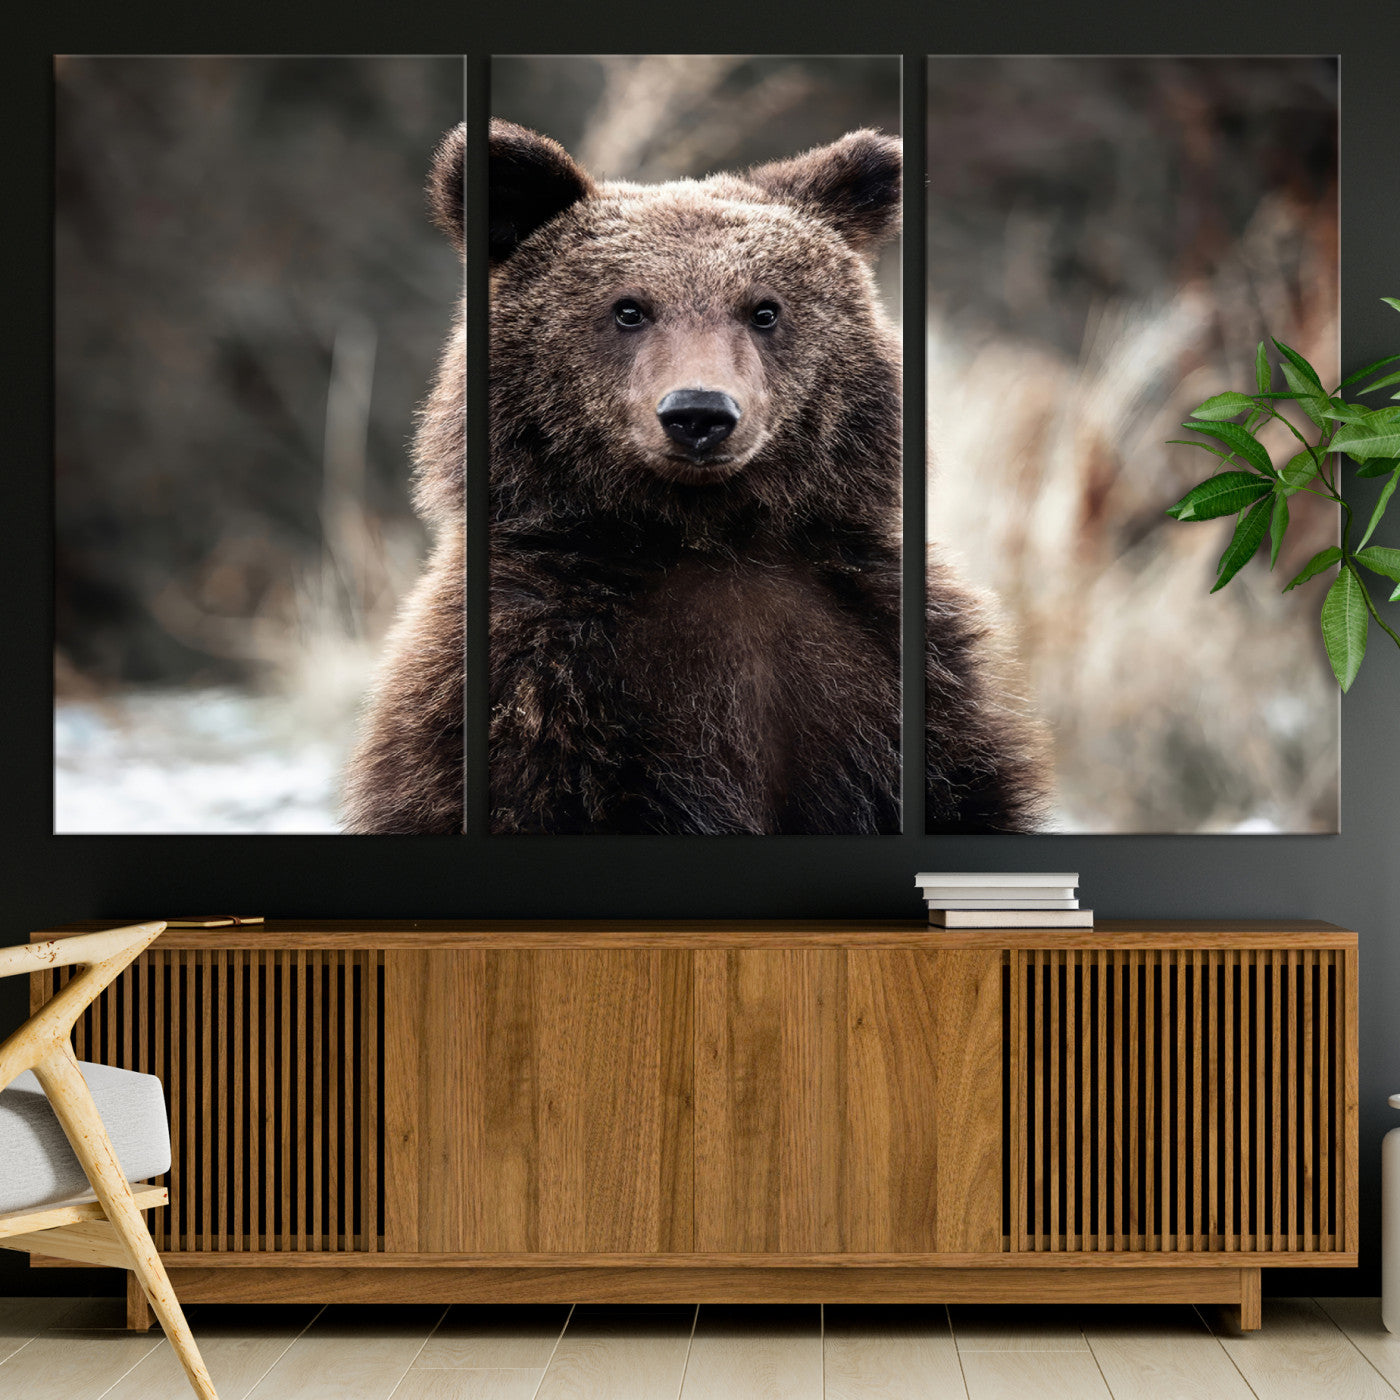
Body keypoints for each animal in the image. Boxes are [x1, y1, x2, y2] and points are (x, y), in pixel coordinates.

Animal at [344, 119, 1048, 834]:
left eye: (764, 309)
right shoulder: (536, 685)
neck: (708, 534)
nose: (699, 413)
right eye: (629, 308)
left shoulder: (891, 664)